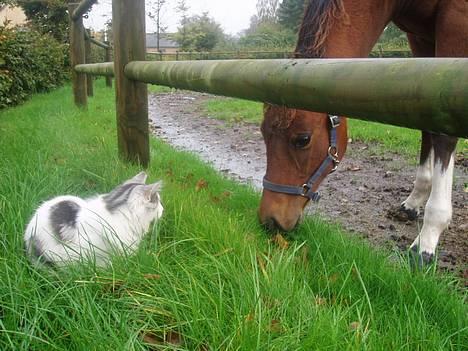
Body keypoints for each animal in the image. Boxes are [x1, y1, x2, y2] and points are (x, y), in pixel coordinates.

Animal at [258, 0, 466, 264]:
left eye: (302, 139)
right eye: (264, 135)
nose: (269, 220)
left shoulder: (456, 20)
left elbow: (444, 134)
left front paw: (427, 239)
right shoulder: (420, 39)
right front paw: (413, 202)